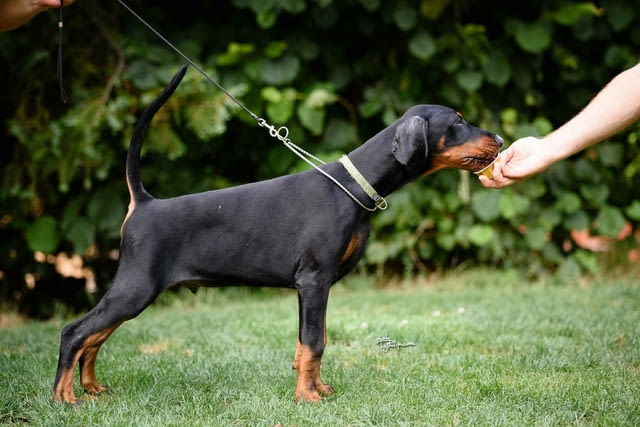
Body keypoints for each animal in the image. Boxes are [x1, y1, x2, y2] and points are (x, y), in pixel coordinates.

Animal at [52, 65, 502, 406]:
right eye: (457, 121)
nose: (498, 138)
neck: (352, 187)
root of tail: (143, 203)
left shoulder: (314, 287)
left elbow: (310, 343)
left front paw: (318, 389)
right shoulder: (314, 280)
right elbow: (315, 342)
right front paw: (308, 398)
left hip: (136, 290)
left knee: (95, 337)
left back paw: (91, 388)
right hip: (137, 285)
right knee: (75, 332)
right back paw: (64, 398)